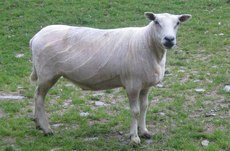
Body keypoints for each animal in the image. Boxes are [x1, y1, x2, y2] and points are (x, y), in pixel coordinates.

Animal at [29, 12, 191, 145]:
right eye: (156, 22)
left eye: (177, 23)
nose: (169, 39)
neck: (146, 43)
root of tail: (35, 37)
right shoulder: (132, 85)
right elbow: (135, 111)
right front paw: (134, 137)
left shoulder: (145, 85)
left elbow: (145, 107)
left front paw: (144, 131)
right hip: (47, 74)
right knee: (39, 97)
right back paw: (46, 129)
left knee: (36, 95)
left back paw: (37, 123)